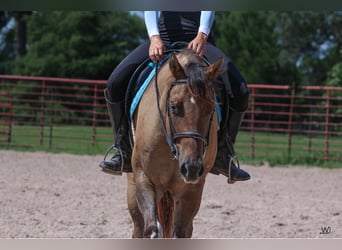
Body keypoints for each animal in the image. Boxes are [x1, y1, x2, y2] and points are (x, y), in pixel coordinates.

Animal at [125, 47, 222, 237]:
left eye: (210, 109)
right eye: (174, 107)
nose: (192, 167)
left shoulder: (191, 191)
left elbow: (180, 232)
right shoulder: (143, 178)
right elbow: (152, 229)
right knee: (139, 227)